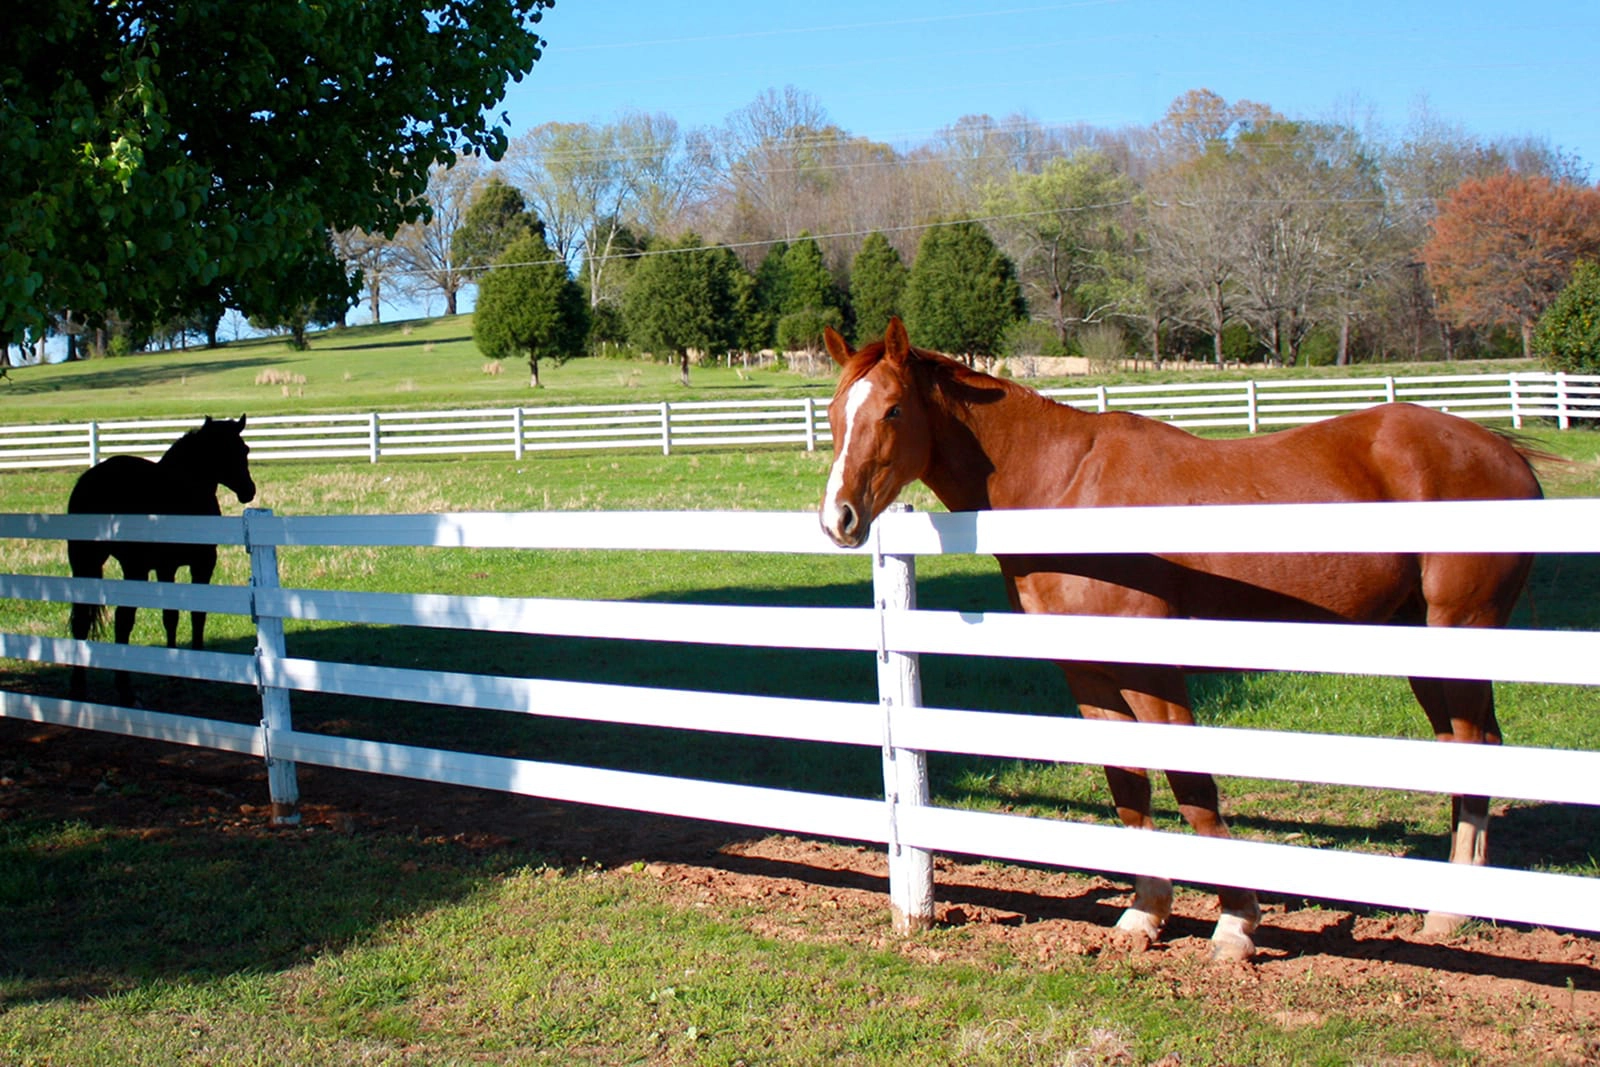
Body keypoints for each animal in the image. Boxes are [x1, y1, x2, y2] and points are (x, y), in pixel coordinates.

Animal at [819, 316, 1542, 959]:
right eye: (831, 414)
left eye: (892, 411)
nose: (838, 519)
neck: (1065, 486)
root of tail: (1504, 451)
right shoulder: (1088, 672)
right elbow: (1130, 788)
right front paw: (1145, 913)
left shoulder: (1151, 668)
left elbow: (1191, 785)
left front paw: (1237, 922)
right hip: (1422, 642)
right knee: (1467, 747)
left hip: (1460, 631)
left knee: (1474, 750)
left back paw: (1448, 911)